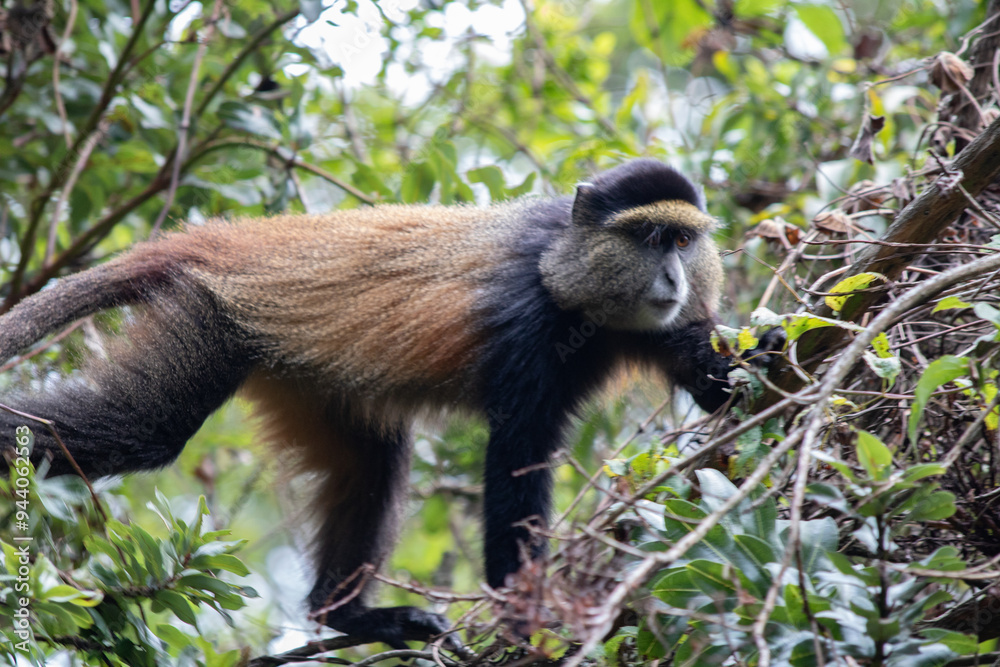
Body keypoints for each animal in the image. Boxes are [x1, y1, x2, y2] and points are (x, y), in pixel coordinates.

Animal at [0, 159, 740, 649]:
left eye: (682, 241)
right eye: (649, 239)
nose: (673, 279)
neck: (569, 267)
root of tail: (232, 240)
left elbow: (707, 373)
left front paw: (753, 367)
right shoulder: (528, 324)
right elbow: (517, 456)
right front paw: (523, 610)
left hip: (301, 370)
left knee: (372, 461)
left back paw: (346, 616)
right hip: (206, 318)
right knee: (145, 428)